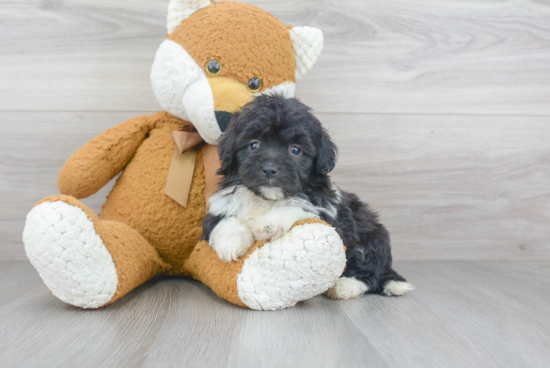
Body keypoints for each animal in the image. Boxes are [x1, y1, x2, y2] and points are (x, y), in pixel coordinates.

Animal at [203, 95, 414, 300]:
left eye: (295, 150)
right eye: (254, 145)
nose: (270, 169)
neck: (268, 199)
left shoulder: (326, 211)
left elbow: (298, 206)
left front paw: (270, 223)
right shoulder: (218, 207)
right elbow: (222, 219)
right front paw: (231, 241)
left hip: (373, 238)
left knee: (370, 272)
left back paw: (345, 286)